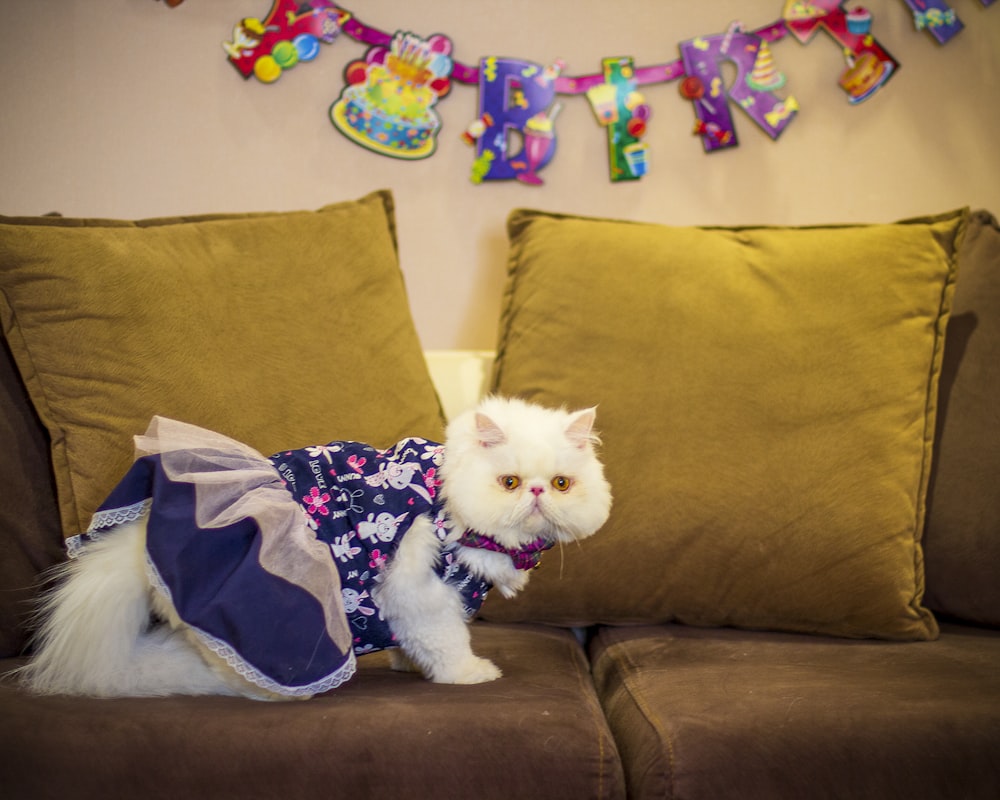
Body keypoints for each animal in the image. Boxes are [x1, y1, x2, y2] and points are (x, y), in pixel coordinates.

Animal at [19, 398, 608, 700]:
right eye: (510, 483)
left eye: (560, 484)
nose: (536, 494)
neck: (446, 498)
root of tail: (139, 537)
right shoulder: (417, 588)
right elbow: (446, 642)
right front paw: (467, 675)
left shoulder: (402, 603)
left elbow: (410, 640)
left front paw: (405, 665)